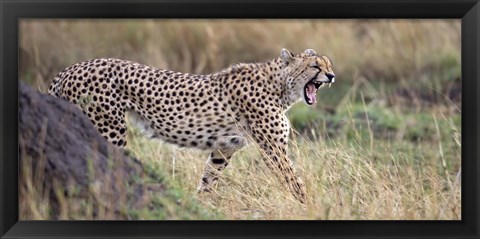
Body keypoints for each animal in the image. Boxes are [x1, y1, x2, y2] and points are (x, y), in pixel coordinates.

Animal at [47, 48, 334, 204]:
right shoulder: (273, 148)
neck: (280, 86)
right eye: (314, 66)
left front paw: (201, 204)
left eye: (328, 65)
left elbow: (208, 179)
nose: (331, 76)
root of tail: (70, 68)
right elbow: (294, 180)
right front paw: (309, 206)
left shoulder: (223, 149)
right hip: (109, 128)